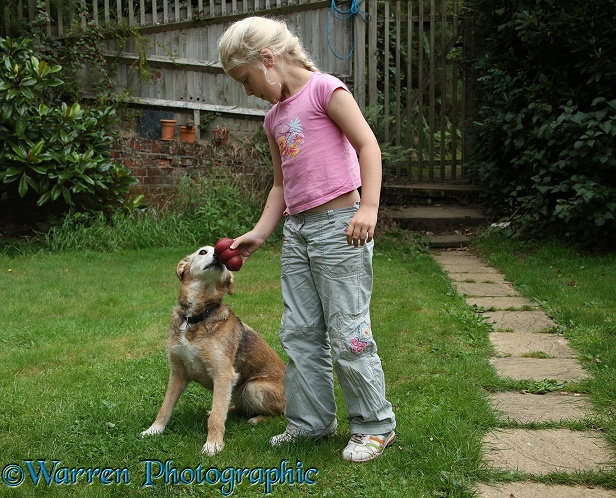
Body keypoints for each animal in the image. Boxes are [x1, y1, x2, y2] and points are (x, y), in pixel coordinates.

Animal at [141, 245, 286, 456]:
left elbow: (217, 417)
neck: (195, 318)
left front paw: (213, 444)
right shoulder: (178, 372)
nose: (219, 256)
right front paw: (154, 430)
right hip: (238, 390)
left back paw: (257, 419)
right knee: (236, 407)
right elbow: (165, 407)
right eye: (203, 252)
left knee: (279, 413)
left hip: (254, 387)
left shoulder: (223, 373)